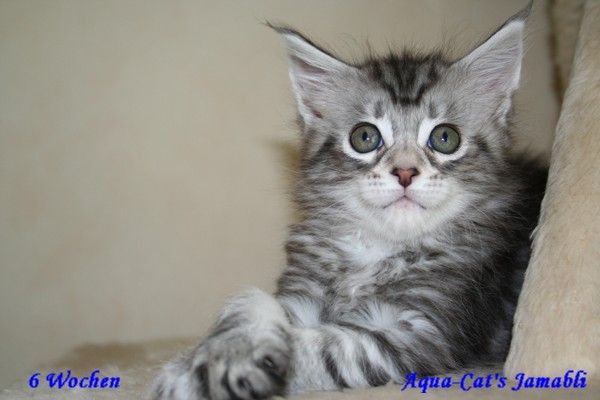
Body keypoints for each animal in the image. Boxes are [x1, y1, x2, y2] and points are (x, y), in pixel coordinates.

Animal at [154, 4, 546, 400]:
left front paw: (197, 377)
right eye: (365, 137)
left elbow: (322, 348)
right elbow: (247, 299)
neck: (376, 248)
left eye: (445, 138)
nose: (405, 172)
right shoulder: (300, 293)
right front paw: (211, 355)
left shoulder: (419, 333)